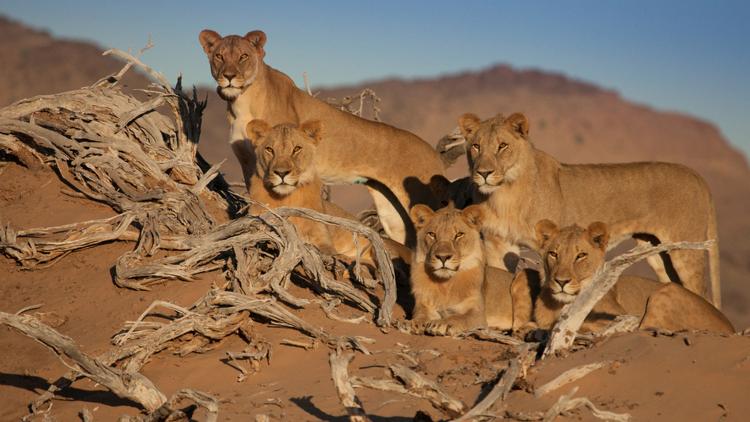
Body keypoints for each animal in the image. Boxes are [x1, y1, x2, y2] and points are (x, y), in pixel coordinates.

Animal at [198, 30, 446, 247]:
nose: (229, 77)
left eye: (243, 56)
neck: (240, 101)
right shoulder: (249, 161)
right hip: (392, 212)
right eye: (219, 56)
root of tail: (434, 154)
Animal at [245, 117, 412, 266]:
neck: (287, 198)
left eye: (296, 149)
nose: (281, 173)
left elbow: (329, 251)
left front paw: (338, 257)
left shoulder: (321, 235)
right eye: (269, 149)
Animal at [406, 203, 536, 334]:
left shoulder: (478, 314)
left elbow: (458, 318)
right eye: (432, 234)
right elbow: (420, 315)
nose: (443, 257)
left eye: (459, 235)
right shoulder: (423, 305)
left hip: (523, 274)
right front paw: (413, 323)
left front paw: (440, 324)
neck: (445, 284)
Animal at [458, 113, 724, 308]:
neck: (505, 194)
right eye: (476, 147)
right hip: (658, 252)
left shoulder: (550, 244)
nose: (483, 173)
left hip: (686, 250)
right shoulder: (498, 243)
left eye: (502, 146)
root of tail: (697, 176)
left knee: (701, 292)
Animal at [536, 219, 736, 334]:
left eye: (581, 255)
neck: (558, 305)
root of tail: (731, 328)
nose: (561, 281)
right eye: (553, 254)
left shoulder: (617, 314)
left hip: (665, 293)